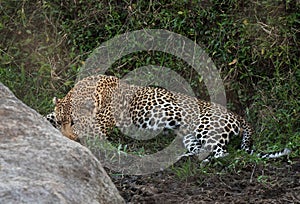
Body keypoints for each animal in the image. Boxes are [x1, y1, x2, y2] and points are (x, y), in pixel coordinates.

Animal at [45, 74, 292, 162]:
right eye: (62, 122)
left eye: (74, 123)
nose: (69, 138)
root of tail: (237, 115)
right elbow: (47, 116)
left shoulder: (102, 124)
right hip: (189, 135)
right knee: (198, 149)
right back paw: (181, 158)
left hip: (207, 129)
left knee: (222, 153)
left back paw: (206, 161)